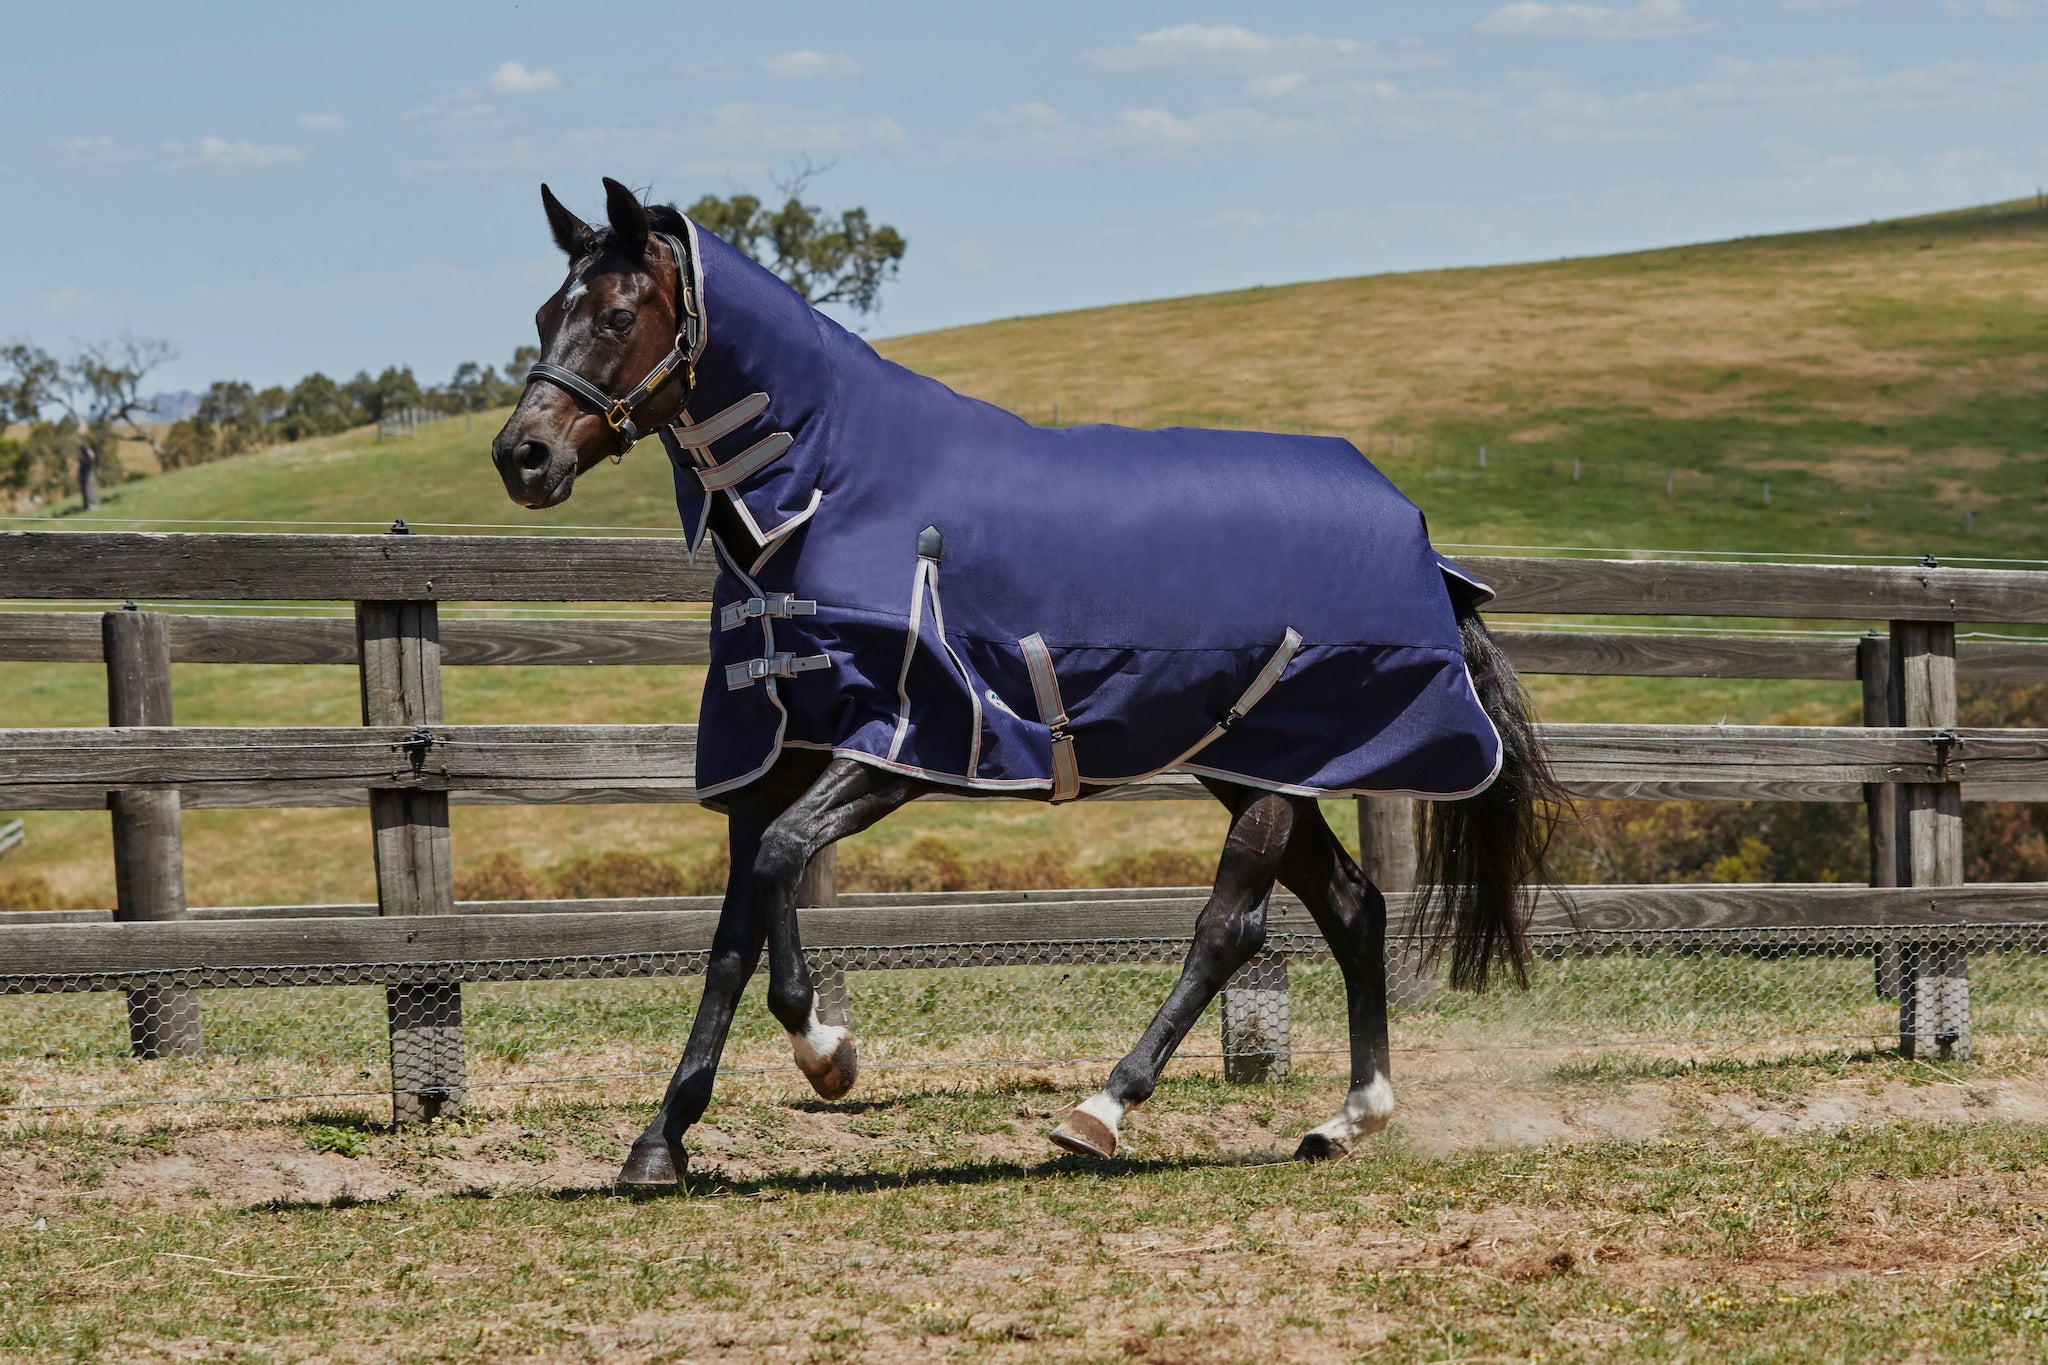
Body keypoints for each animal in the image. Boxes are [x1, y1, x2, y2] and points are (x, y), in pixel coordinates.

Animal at [491, 178, 1561, 1187]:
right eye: (545, 312)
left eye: (618, 315)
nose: (522, 456)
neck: (828, 492)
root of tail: (1417, 534)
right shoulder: (777, 749)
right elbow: (738, 923)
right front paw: (663, 1139)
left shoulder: (907, 742)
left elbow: (781, 869)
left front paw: (827, 1053)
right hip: (1258, 762)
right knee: (1352, 905)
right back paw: (1347, 1119)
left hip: (1281, 767)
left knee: (1234, 924)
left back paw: (1103, 1109)